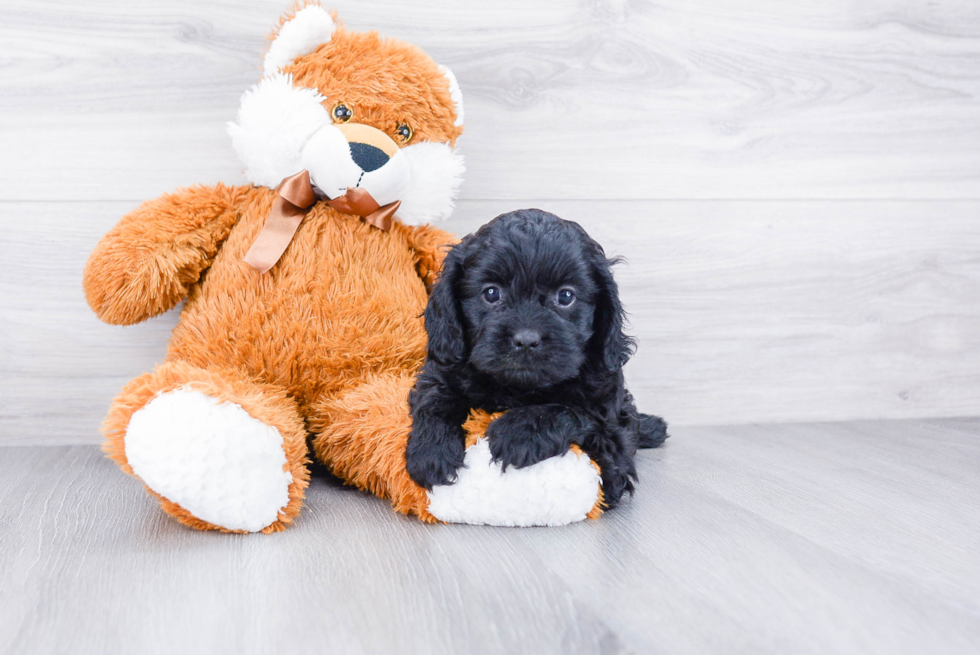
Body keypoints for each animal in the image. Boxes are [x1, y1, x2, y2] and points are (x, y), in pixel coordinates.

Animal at [406, 209, 668, 508]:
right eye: (491, 293)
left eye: (565, 296)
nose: (526, 339)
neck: (519, 390)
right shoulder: (444, 367)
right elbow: (435, 397)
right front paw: (431, 452)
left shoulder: (614, 448)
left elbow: (579, 413)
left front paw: (519, 431)